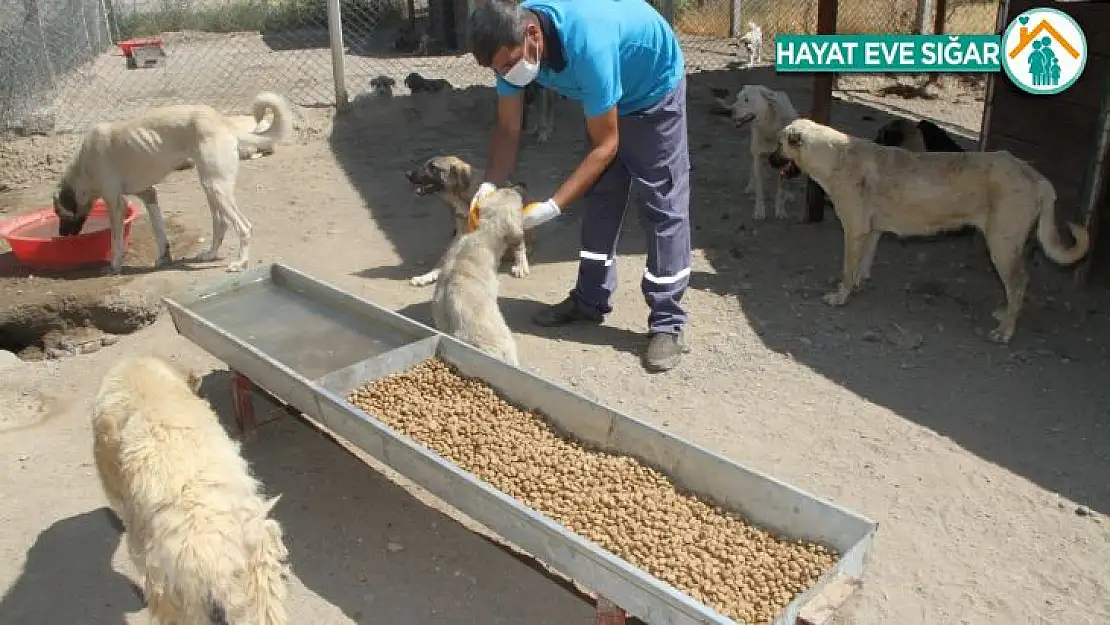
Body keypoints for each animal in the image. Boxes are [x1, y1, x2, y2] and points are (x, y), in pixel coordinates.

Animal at [54, 91, 290, 274]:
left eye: (59, 213)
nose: (61, 236)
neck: (83, 166)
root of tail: (224, 122)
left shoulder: (116, 205)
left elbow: (116, 241)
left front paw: (114, 266)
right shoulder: (149, 194)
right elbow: (159, 230)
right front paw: (164, 256)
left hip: (216, 187)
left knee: (244, 226)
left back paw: (240, 262)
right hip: (210, 185)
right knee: (221, 223)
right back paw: (210, 254)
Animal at [719, 83, 799, 219]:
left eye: (747, 100)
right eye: (738, 98)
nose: (729, 112)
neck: (769, 128)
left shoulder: (783, 162)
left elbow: (781, 191)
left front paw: (781, 211)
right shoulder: (758, 158)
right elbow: (759, 188)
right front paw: (759, 211)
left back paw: (788, 194)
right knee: (752, 168)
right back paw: (750, 187)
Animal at [768, 117, 1087, 341]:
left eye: (779, 145)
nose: (768, 161)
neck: (834, 156)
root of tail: (1036, 176)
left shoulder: (854, 231)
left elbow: (848, 270)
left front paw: (840, 296)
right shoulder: (870, 233)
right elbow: (861, 267)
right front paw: (856, 286)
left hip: (1001, 245)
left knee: (1019, 283)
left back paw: (1005, 330)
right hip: (1013, 245)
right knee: (1019, 282)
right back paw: (1006, 313)